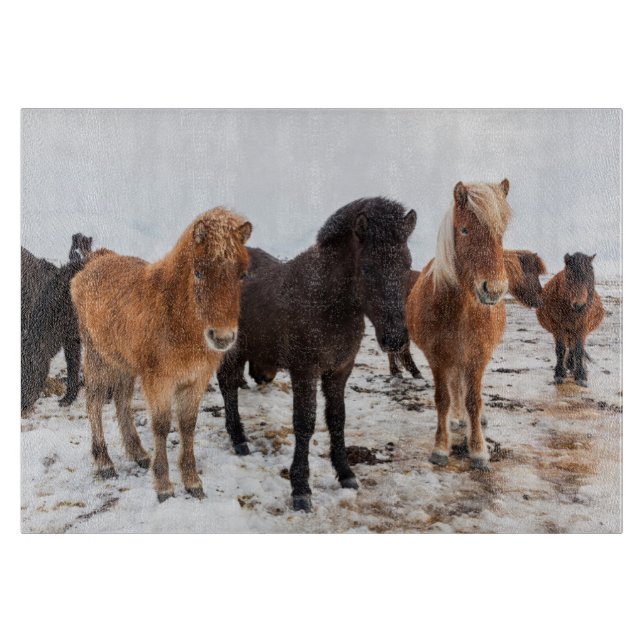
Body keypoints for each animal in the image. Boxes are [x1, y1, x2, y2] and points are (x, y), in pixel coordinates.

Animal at [70, 208, 252, 502]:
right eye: (198, 272)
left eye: (242, 275)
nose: (222, 337)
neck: (174, 315)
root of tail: (95, 261)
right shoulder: (159, 382)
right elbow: (162, 426)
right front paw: (164, 485)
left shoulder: (196, 380)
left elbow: (187, 425)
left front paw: (192, 482)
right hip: (98, 357)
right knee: (94, 402)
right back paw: (105, 463)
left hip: (124, 363)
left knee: (121, 401)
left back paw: (138, 453)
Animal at [217, 198, 417, 512]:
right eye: (367, 268)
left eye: (407, 265)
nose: (395, 338)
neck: (325, 301)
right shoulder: (304, 371)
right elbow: (305, 423)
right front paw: (300, 488)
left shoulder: (339, 371)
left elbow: (337, 418)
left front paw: (345, 473)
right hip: (231, 350)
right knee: (227, 385)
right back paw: (238, 439)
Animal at [407, 179, 511, 471]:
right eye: (464, 229)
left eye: (501, 232)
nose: (494, 289)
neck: (461, 310)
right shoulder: (437, 357)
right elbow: (443, 398)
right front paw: (441, 448)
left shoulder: (478, 356)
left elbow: (473, 400)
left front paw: (478, 450)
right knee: (455, 389)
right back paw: (456, 418)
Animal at [536, 252, 604, 387]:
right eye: (569, 276)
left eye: (590, 276)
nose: (579, 305)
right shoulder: (558, 328)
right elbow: (560, 349)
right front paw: (559, 374)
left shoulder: (582, 327)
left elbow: (578, 349)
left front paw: (581, 375)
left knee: (573, 347)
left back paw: (572, 366)